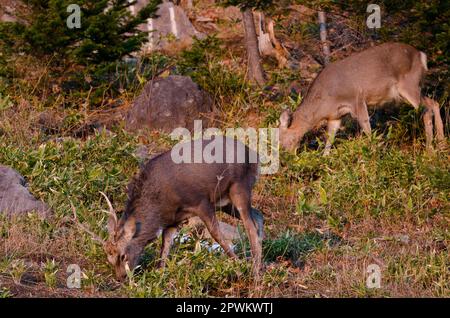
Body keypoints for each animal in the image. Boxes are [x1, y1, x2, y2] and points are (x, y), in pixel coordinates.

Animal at [74, 136, 264, 280]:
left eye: (122, 255)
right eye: (109, 259)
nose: (121, 278)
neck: (160, 204)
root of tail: (255, 156)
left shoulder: (201, 201)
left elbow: (217, 235)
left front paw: (239, 265)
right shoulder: (173, 220)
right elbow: (164, 249)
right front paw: (159, 274)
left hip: (239, 187)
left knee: (250, 227)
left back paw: (254, 271)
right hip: (226, 203)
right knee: (259, 215)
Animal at [280, 42, 444, 154]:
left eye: (280, 142)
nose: (285, 160)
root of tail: (421, 55)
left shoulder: (356, 99)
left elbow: (367, 128)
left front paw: (373, 151)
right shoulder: (335, 116)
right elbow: (329, 139)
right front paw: (325, 159)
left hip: (408, 85)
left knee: (426, 110)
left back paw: (429, 149)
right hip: (410, 90)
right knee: (434, 103)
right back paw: (441, 141)